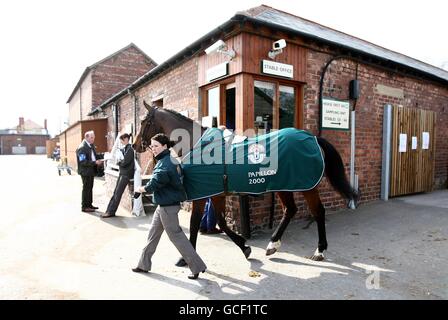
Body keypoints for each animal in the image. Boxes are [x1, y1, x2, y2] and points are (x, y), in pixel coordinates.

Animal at [132, 102, 356, 262]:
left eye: (143, 122)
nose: (135, 146)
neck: (198, 146)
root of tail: (313, 138)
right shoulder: (216, 193)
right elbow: (221, 221)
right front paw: (244, 246)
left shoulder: (202, 195)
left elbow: (195, 223)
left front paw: (185, 258)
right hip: (285, 185)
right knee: (291, 210)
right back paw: (273, 245)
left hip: (305, 186)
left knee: (318, 212)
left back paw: (319, 250)